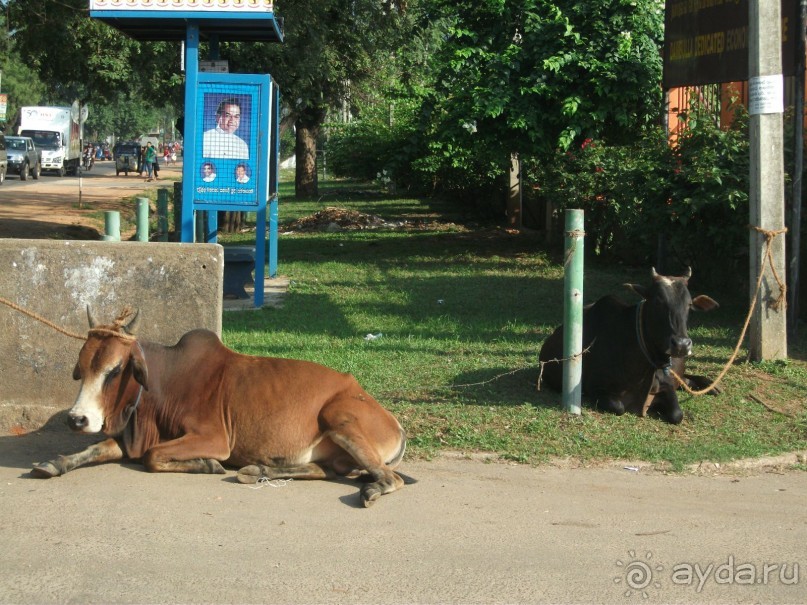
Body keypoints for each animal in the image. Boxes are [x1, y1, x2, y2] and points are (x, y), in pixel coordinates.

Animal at [34, 306, 408, 504]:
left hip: (338, 417)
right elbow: (94, 450)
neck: (164, 384)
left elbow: (154, 457)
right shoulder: (130, 439)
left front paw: (207, 465)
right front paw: (54, 463)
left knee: (391, 478)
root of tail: (393, 421)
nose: (77, 419)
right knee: (322, 470)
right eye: (81, 369)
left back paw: (373, 488)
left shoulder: (215, 438)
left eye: (113, 371)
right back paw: (259, 471)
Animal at [544, 266, 720, 422]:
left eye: (689, 304)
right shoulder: (596, 388)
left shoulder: (666, 385)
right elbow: (619, 407)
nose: (682, 344)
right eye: (658, 301)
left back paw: (710, 385)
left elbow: (677, 414)